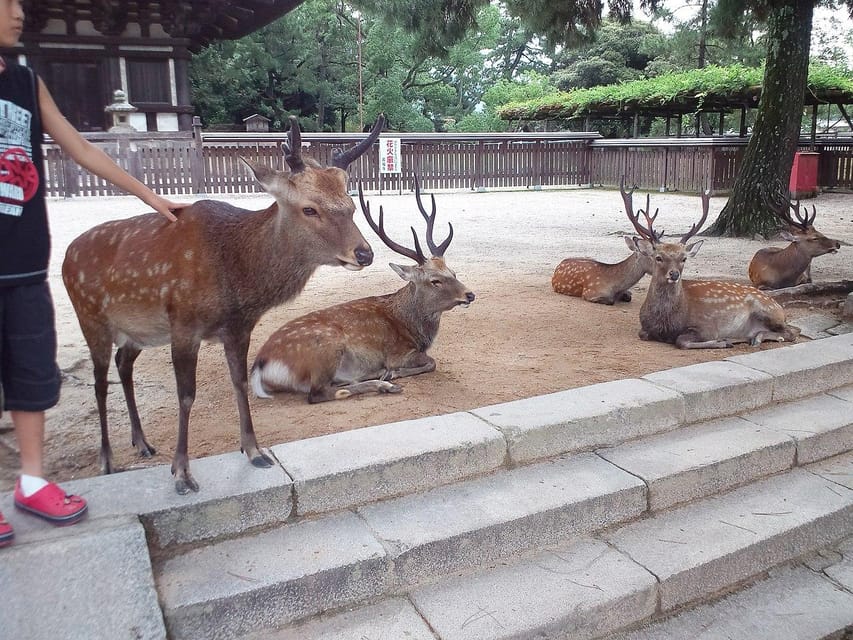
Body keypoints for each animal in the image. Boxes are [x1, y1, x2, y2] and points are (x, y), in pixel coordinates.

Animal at [65, 116, 384, 496]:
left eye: (351, 205)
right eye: (310, 208)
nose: (364, 253)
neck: (236, 277)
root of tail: (66, 254)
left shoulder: (238, 327)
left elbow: (240, 382)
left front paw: (254, 451)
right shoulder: (183, 324)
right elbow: (186, 395)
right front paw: (182, 473)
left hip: (138, 332)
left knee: (122, 364)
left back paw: (142, 443)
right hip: (90, 317)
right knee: (99, 383)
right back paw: (108, 460)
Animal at [248, 178, 472, 402]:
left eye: (453, 272)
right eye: (435, 280)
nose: (469, 294)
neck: (413, 328)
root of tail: (259, 367)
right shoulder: (399, 353)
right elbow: (431, 362)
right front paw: (393, 373)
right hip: (327, 346)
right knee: (318, 393)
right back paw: (385, 384)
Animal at [620, 185, 800, 350]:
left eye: (684, 258)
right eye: (658, 257)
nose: (674, 274)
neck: (666, 322)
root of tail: (778, 307)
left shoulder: (708, 327)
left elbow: (681, 341)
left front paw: (723, 341)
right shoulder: (644, 328)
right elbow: (643, 334)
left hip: (767, 309)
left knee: (791, 332)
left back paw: (754, 338)